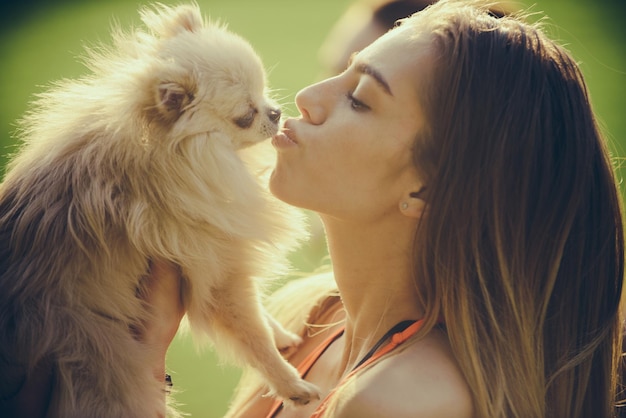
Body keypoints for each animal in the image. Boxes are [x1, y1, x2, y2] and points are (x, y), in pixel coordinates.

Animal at [0, 4, 320, 418]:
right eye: (245, 116)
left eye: (262, 94)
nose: (277, 112)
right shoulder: (217, 273)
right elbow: (254, 337)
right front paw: (292, 385)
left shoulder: (219, 263)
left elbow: (261, 321)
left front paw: (282, 334)